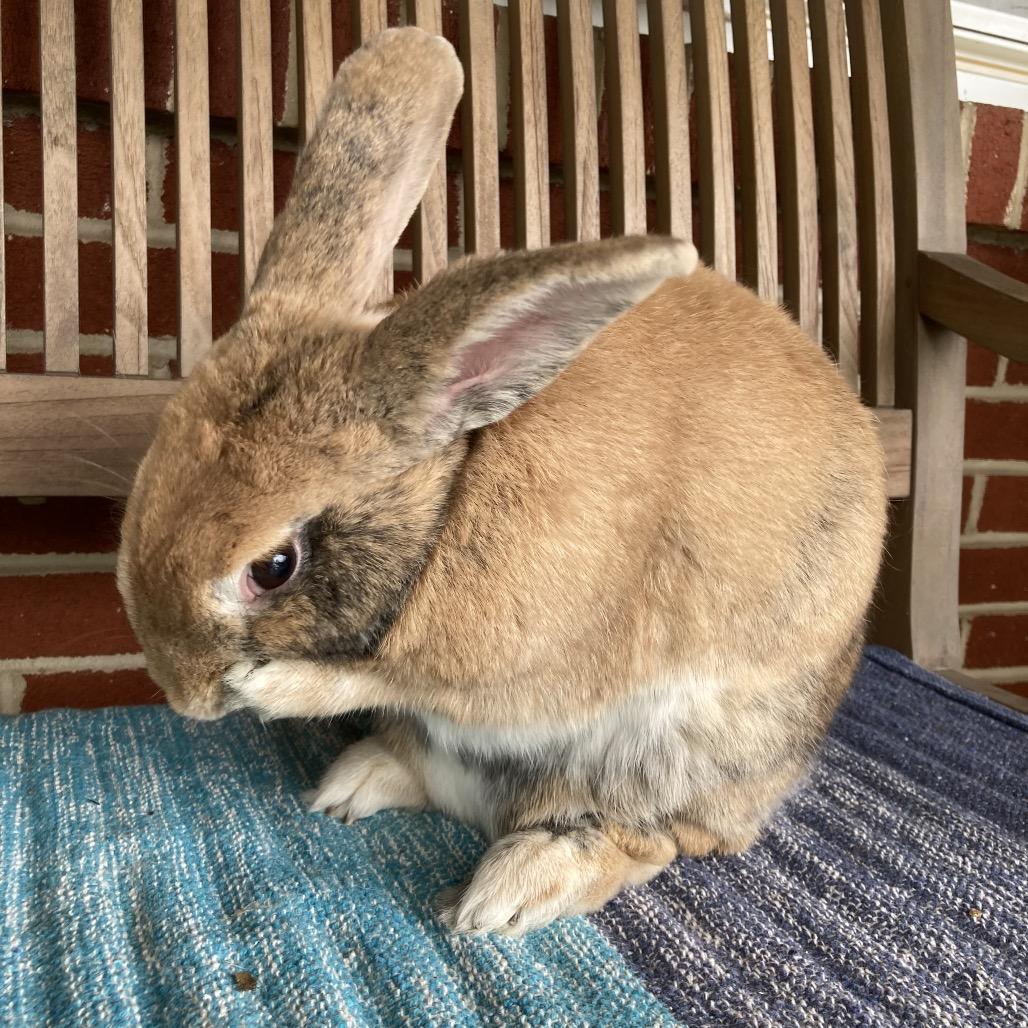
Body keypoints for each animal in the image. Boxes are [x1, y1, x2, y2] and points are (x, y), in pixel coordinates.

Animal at [118, 26, 887, 937]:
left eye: (273, 567)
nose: (186, 698)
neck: (452, 493)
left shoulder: (523, 674)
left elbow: (388, 677)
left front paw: (276, 687)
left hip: (667, 762)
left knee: (647, 838)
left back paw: (504, 896)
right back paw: (355, 786)